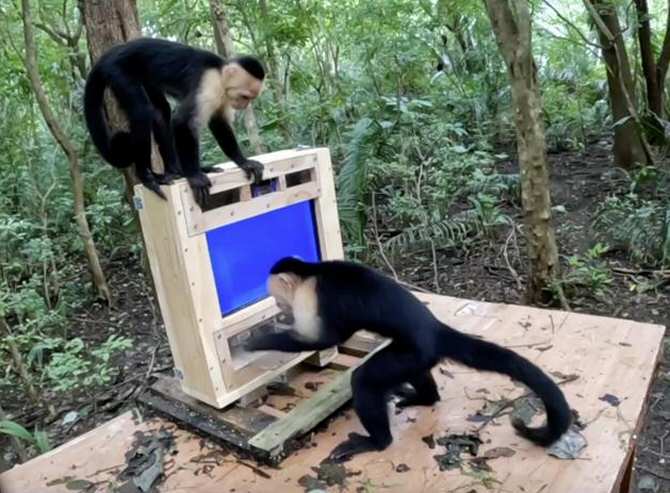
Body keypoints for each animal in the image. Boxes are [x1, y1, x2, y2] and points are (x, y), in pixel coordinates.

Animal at [83, 37, 265, 207]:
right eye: (245, 96)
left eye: (250, 98)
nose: (244, 105)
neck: (220, 74)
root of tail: (111, 53)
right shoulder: (209, 85)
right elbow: (182, 122)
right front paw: (194, 176)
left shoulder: (223, 97)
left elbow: (219, 123)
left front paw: (243, 162)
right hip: (118, 71)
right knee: (142, 112)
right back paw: (147, 176)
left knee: (160, 112)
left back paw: (175, 171)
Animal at [244, 257, 572, 463]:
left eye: (279, 299)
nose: (279, 308)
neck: (313, 272)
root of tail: (435, 328)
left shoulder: (312, 299)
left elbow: (325, 340)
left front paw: (256, 341)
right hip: (418, 355)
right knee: (414, 373)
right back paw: (424, 397)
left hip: (415, 351)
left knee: (364, 380)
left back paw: (378, 441)